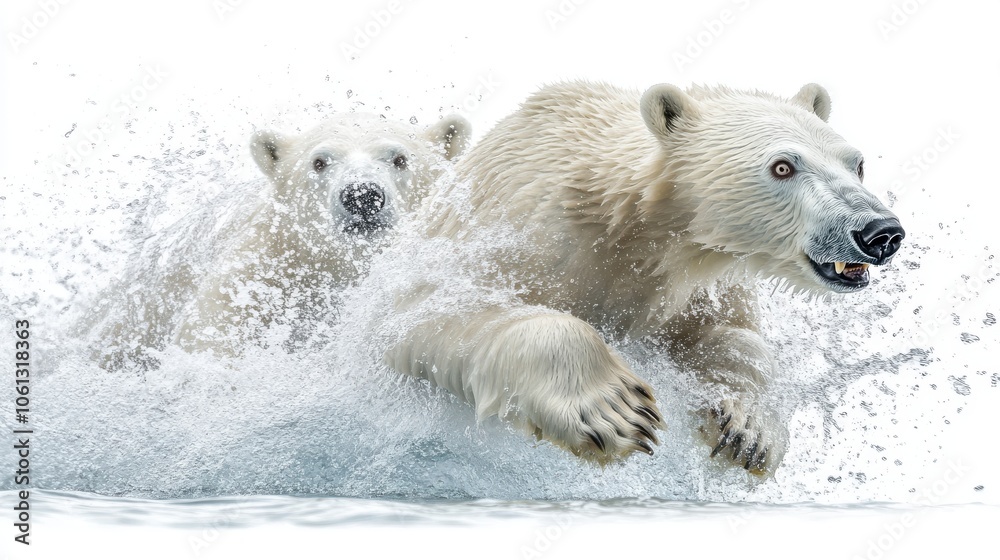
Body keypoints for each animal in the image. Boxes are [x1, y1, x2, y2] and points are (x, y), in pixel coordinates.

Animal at [88, 111, 471, 369]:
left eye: (399, 158)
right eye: (319, 161)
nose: (362, 196)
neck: (335, 267)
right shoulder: (261, 272)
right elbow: (213, 332)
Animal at [384, 81, 904, 473]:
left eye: (857, 163)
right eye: (782, 166)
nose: (880, 233)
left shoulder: (695, 283)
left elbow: (733, 335)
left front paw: (747, 429)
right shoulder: (519, 227)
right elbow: (425, 310)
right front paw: (613, 411)